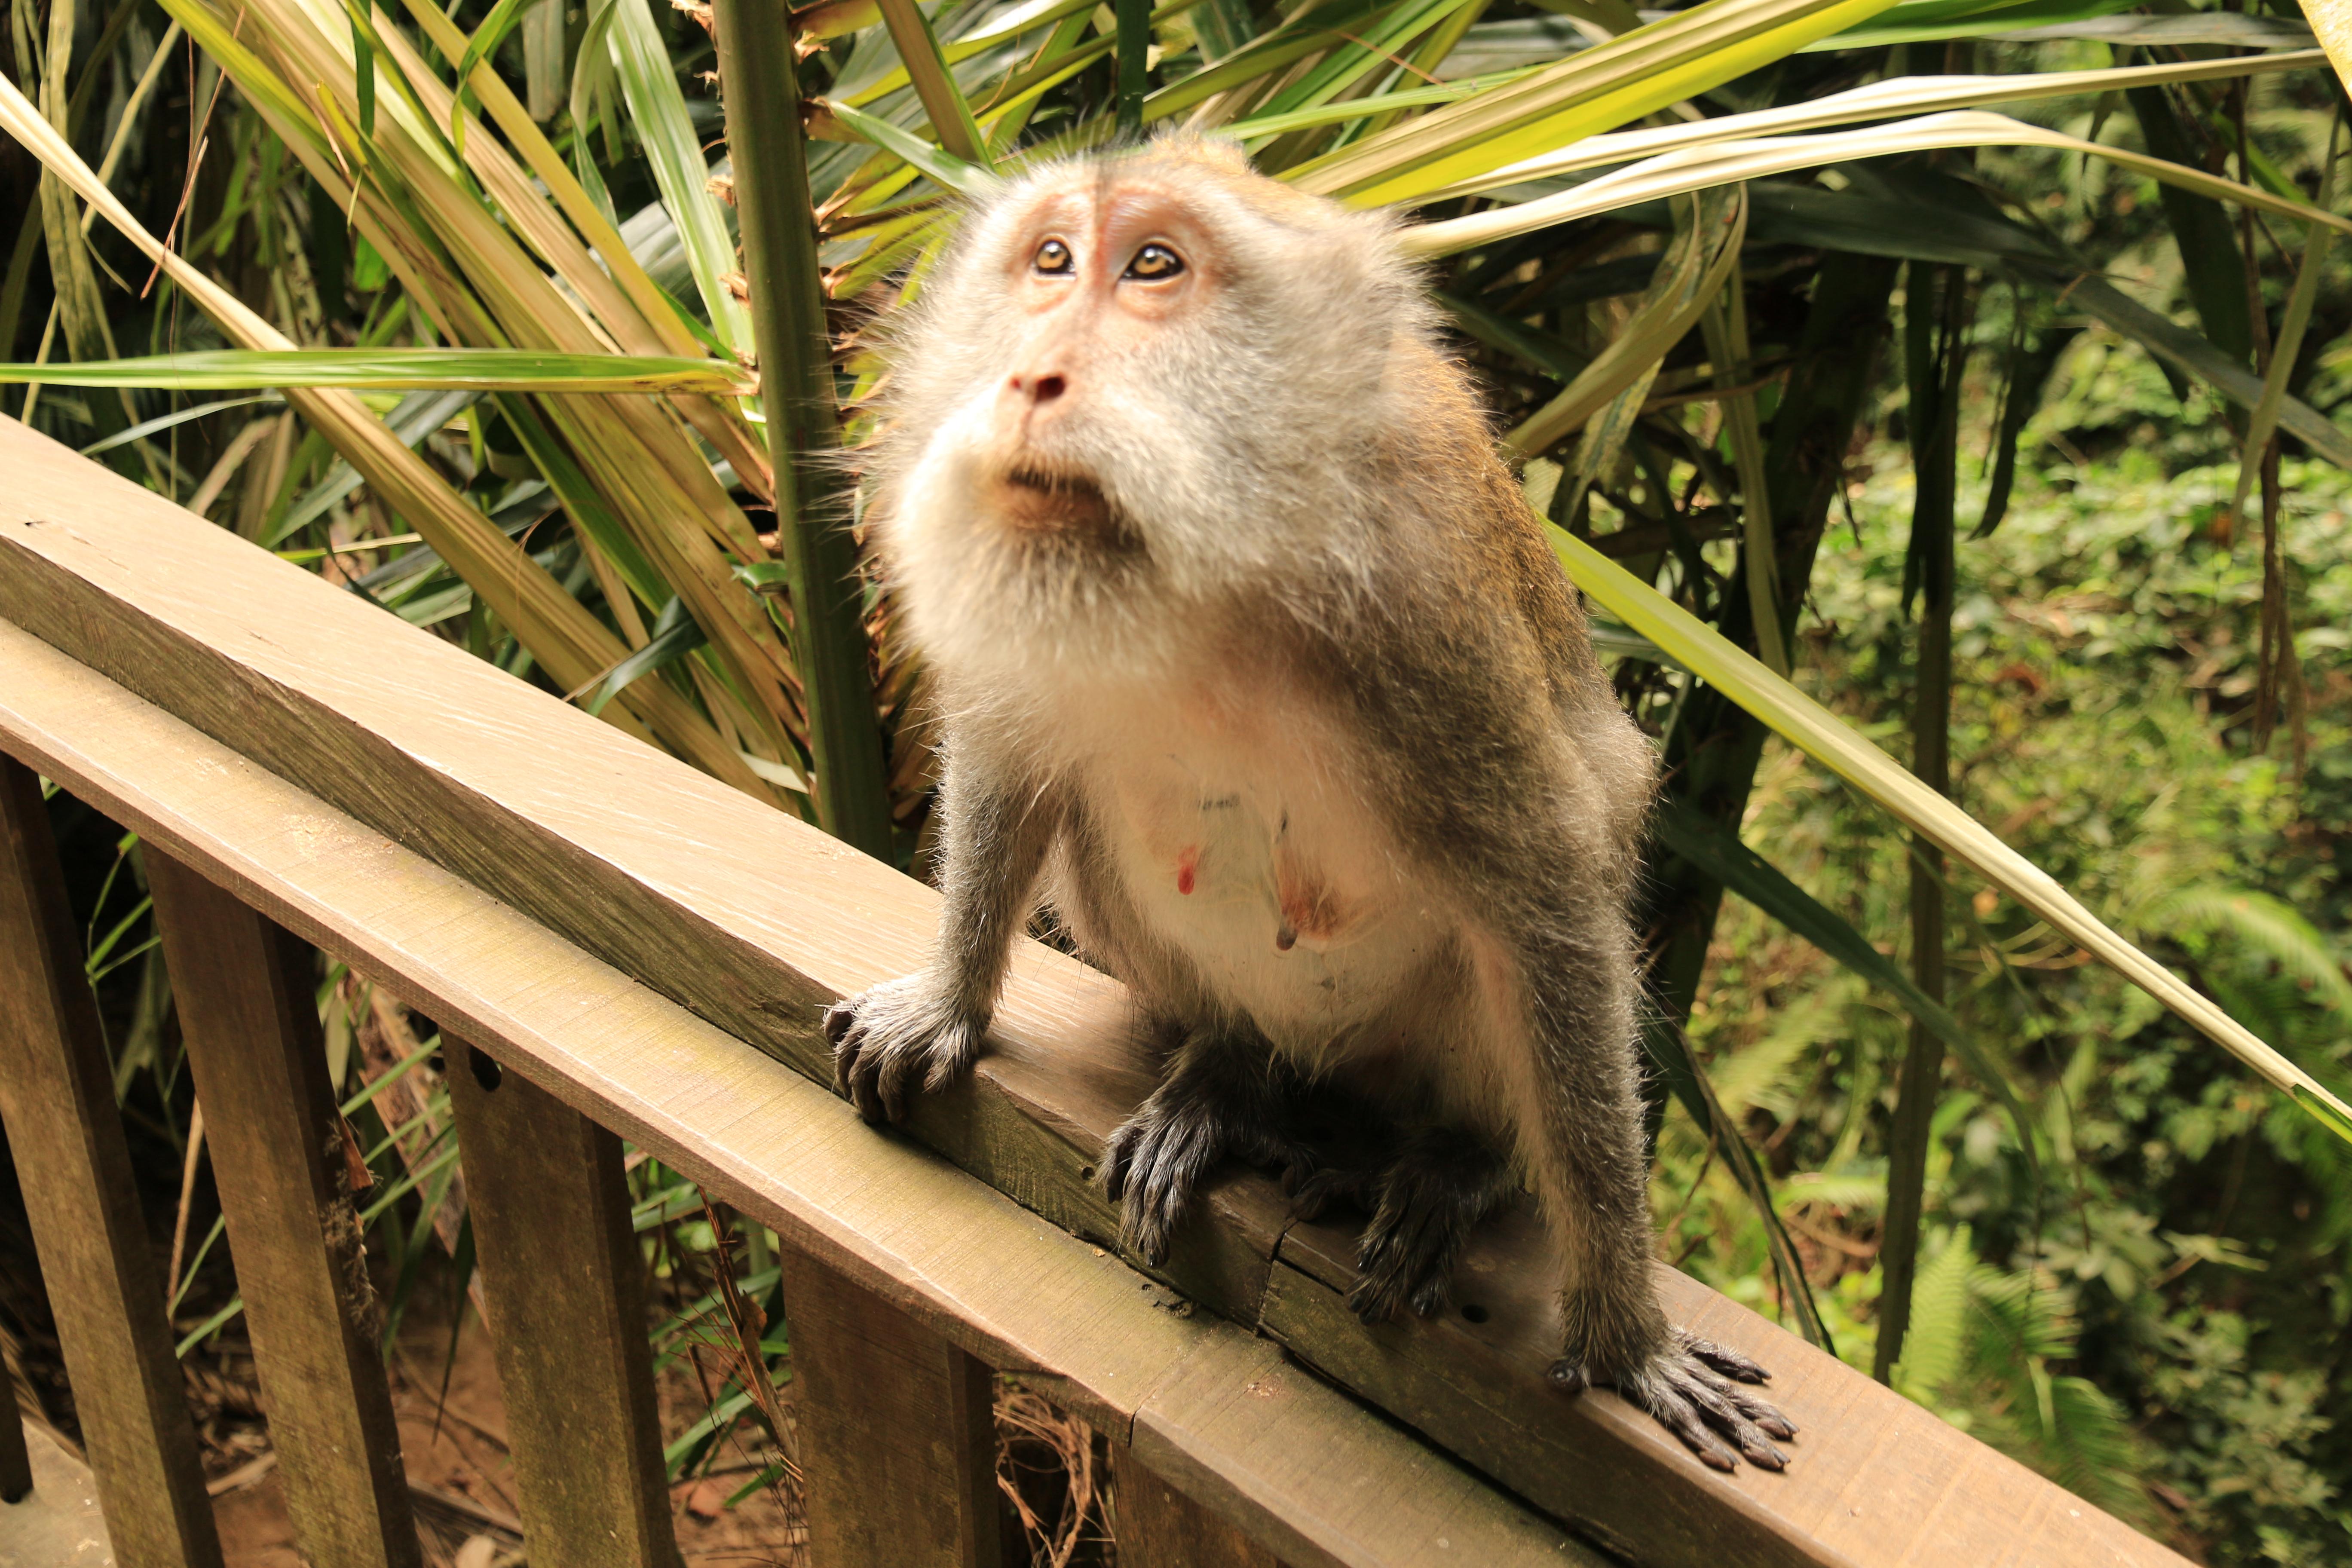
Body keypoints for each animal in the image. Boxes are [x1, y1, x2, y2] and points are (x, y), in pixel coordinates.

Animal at [823, 133, 1796, 1471]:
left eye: (1155, 268)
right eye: (1052, 259)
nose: (1029, 374)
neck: (1209, 584)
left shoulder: (1427, 619)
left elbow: (1547, 886)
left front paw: (1624, 1342)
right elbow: (1015, 758)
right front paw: (948, 1003)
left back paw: (1454, 1164)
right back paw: (1229, 1078)